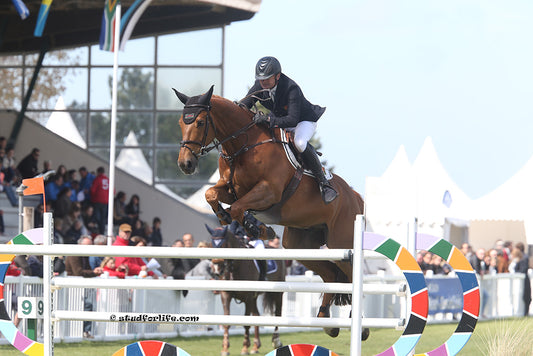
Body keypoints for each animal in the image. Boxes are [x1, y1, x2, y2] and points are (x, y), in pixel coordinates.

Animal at [175, 85, 366, 336]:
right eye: (180, 122)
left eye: (199, 122)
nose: (185, 164)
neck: (242, 146)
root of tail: (356, 197)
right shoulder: (231, 189)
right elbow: (212, 195)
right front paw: (228, 218)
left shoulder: (269, 192)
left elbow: (238, 207)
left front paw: (258, 228)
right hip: (300, 246)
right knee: (331, 274)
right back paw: (326, 320)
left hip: (340, 243)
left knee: (351, 273)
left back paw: (360, 325)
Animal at [208, 225, 284, 356]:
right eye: (212, 245)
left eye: (223, 245)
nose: (217, 270)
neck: (235, 266)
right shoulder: (226, 295)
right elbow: (227, 322)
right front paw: (225, 348)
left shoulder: (248, 297)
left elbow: (246, 323)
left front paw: (244, 348)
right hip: (254, 298)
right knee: (257, 315)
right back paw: (255, 346)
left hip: (277, 294)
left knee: (277, 313)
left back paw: (276, 341)